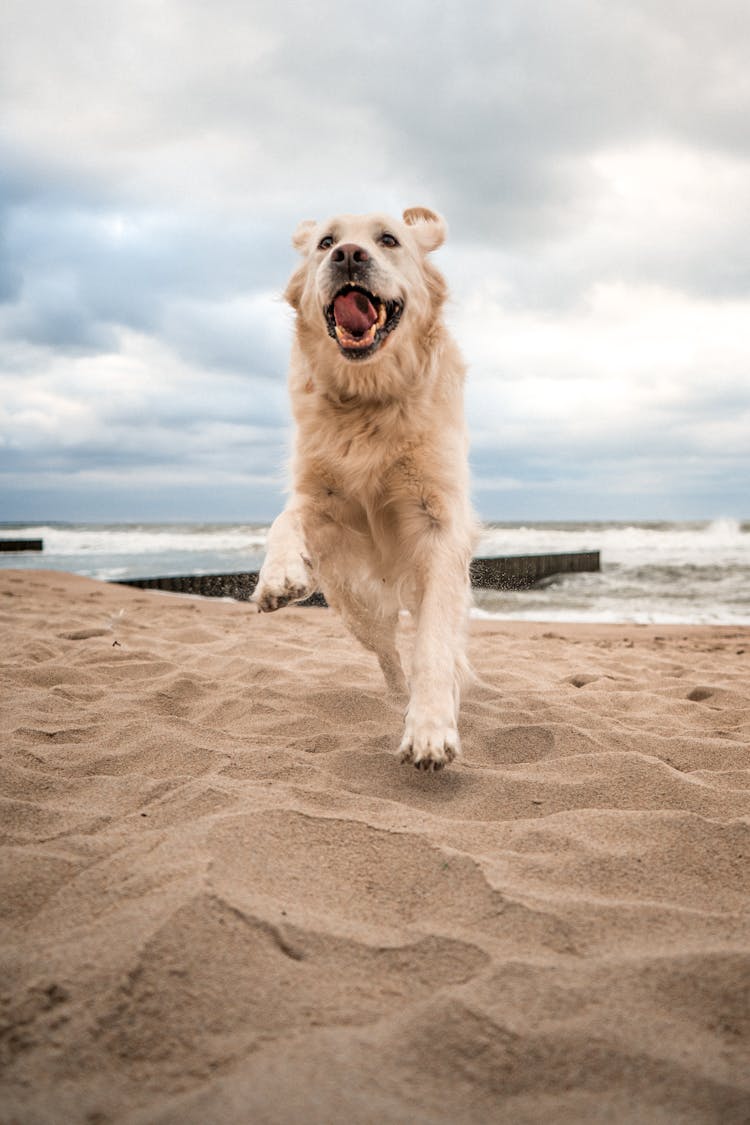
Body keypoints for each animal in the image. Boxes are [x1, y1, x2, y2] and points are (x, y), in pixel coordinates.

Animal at [251, 209, 474, 774]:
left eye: (389, 239)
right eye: (325, 241)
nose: (348, 255)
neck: (369, 398)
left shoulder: (439, 523)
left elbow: (435, 641)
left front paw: (430, 729)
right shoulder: (322, 497)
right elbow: (286, 516)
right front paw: (278, 576)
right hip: (357, 603)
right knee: (388, 652)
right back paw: (397, 693)